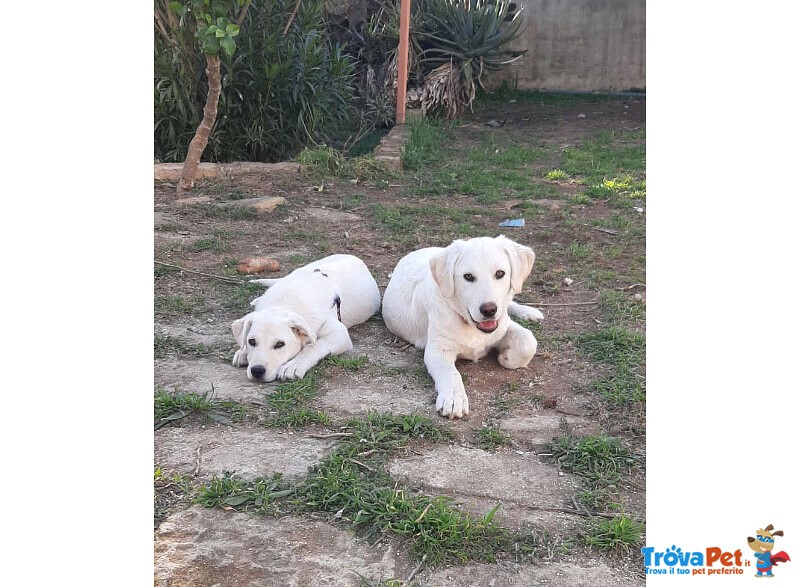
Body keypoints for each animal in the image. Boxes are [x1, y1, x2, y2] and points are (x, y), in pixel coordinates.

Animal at [231, 255, 382, 384]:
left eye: (280, 344)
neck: (285, 302)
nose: (257, 371)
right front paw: (242, 352)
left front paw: (293, 365)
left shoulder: (339, 334)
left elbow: (313, 346)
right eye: (252, 341)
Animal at [382, 237, 544, 420]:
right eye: (468, 277)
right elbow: (450, 373)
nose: (489, 310)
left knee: (510, 304)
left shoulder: (502, 325)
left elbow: (528, 341)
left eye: (500, 273)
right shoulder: (438, 349)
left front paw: (507, 358)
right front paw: (453, 399)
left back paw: (530, 312)